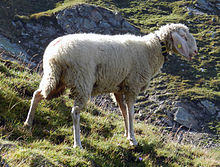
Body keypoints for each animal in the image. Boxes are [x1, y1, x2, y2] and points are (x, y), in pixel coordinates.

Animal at [23, 23, 198, 147]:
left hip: (54, 79)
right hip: (82, 81)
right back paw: (77, 144)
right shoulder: (132, 86)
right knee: (75, 112)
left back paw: (28, 123)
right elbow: (131, 113)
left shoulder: (119, 88)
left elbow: (123, 112)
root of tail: (56, 54)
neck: (151, 49)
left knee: (38, 94)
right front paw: (133, 139)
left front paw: (127, 135)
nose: (196, 52)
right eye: (184, 36)